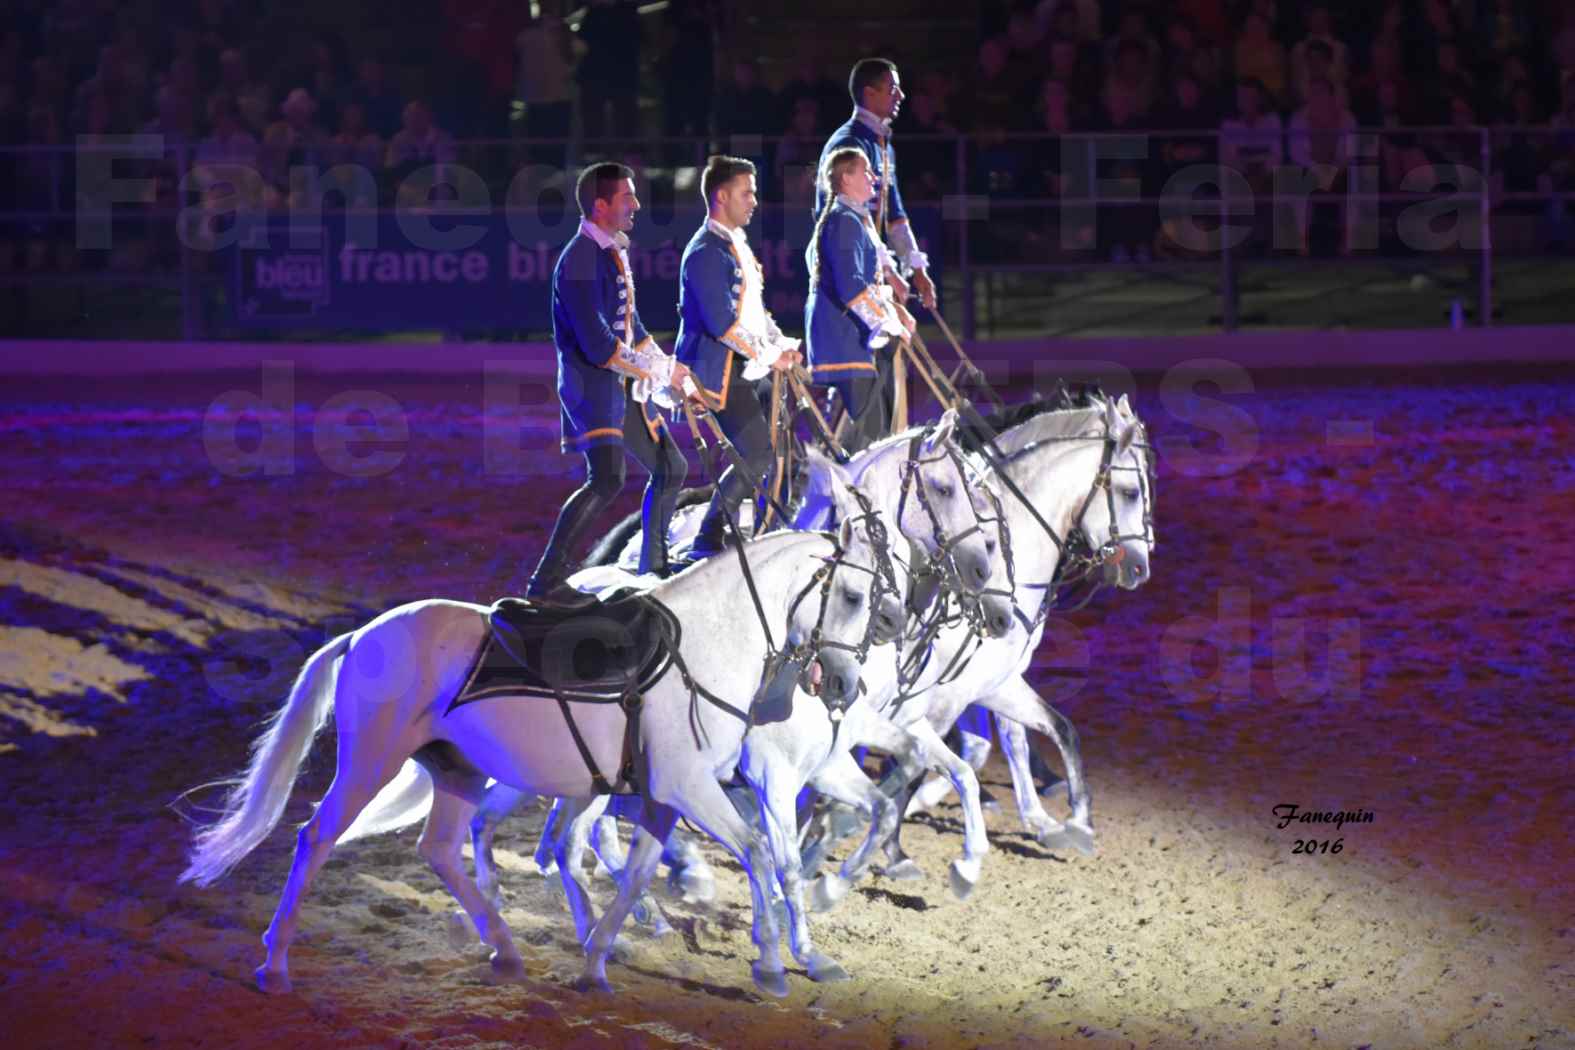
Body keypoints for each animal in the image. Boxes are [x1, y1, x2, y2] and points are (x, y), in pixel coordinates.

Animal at [175, 462, 900, 1001]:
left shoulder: (663, 796)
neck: (703, 644)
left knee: (441, 850)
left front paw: (597, 962)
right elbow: (757, 851)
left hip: (458, 769)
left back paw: (504, 951)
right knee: (317, 836)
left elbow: (637, 875)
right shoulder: (691, 788)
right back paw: (275, 964)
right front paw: (772, 966)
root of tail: (362, 636)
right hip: (370, 762)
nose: (844, 685)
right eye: (852, 596)